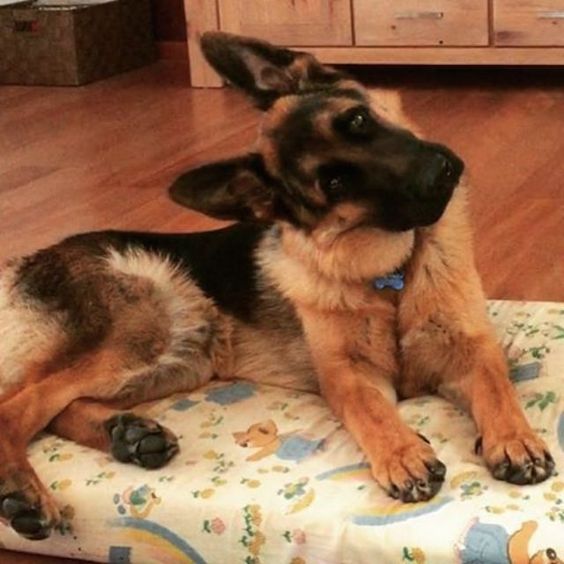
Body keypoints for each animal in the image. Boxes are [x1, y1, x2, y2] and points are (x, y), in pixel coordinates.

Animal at [0, 32, 556, 540]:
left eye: (358, 121)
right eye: (334, 183)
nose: (439, 174)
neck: (391, 275)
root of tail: (29, 260)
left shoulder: (471, 347)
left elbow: (496, 386)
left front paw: (514, 438)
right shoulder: (349, 375)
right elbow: (373, 412)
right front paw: (402, 453)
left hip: (182, 358)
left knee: (52, 407)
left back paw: (128, 433)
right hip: (154, 325)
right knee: (18, 405)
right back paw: (24, 492)